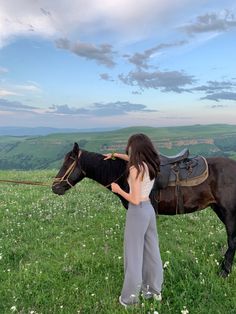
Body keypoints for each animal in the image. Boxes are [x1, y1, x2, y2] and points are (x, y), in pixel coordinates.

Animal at [52, 142, 236, 278]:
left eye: (68, 163)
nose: (55, 187)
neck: (124, 175)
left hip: (228, 213)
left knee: (232, 241)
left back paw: (224, 272)